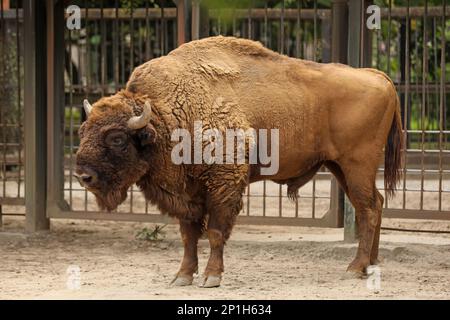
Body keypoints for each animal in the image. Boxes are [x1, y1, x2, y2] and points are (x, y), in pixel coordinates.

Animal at [75, 35, 402, 288]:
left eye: (117, 138)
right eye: (83, 131)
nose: (83, 176)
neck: (165, 117)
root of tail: (378, 76)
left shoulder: (224, 184)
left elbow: (215, 232)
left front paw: (211, 277)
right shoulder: (187, 192)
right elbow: (188, 236)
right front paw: (182, 276)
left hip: (357, 165)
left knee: (368, 209)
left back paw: (355, 268)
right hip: (340, 168)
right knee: (375, 204)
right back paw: (371, 264)